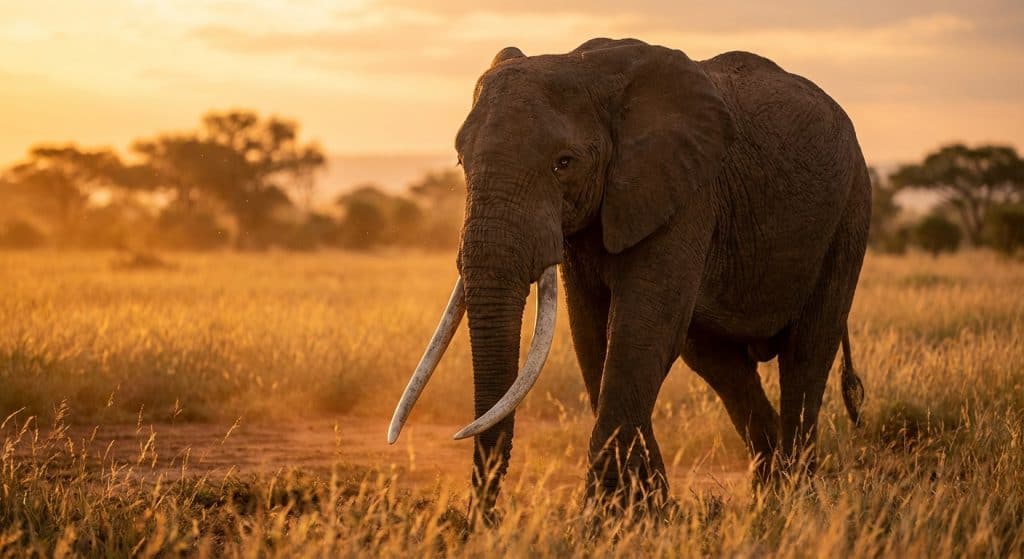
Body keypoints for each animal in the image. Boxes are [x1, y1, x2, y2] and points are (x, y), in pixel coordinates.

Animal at [388, 38, 868, 514]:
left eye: (564, 163)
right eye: (459, 161)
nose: (481, 518)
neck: (588, 69)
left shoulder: (687, 192)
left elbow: (639, 334)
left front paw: (604, 519)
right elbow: (592, 336)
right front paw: (645, 512)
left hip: (848, 215)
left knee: (807, 354)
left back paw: (797, 501)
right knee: (719, 363)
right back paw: (770, 496)